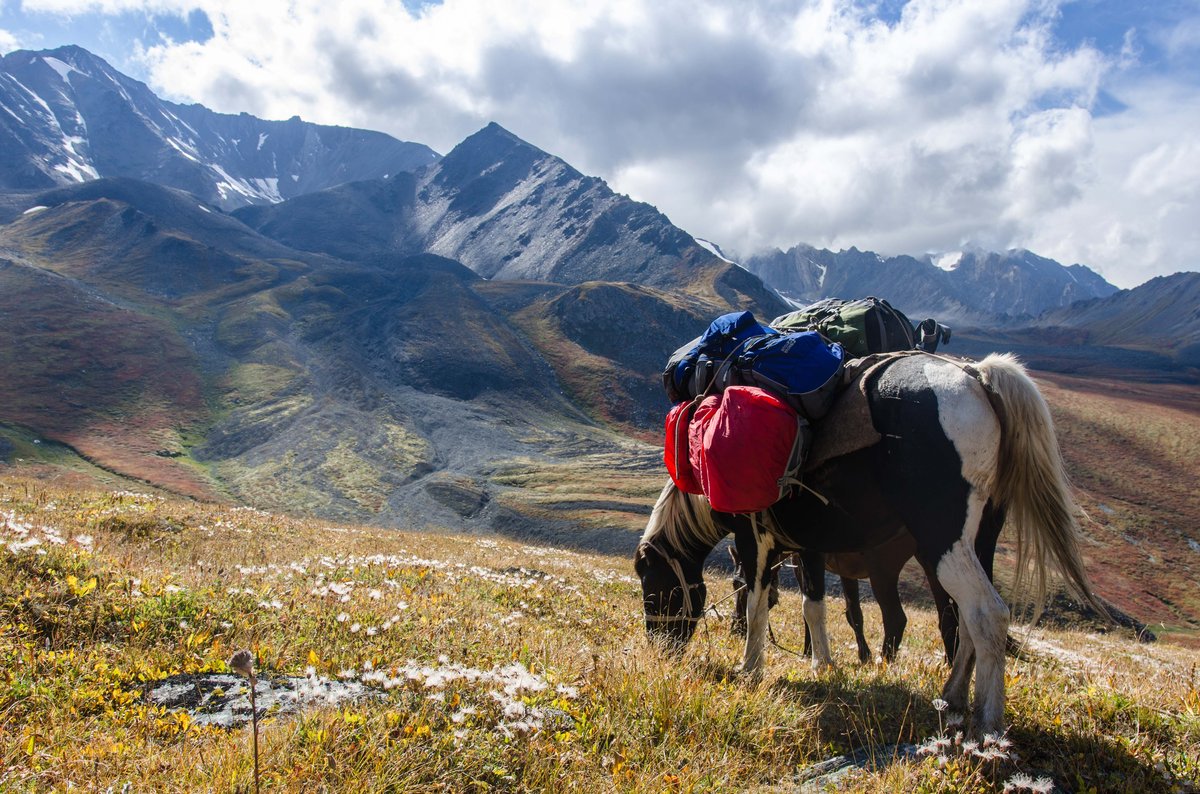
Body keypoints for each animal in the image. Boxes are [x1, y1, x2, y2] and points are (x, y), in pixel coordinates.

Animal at [638, 352, 1104, 738]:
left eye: (650, 581)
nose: (659, 647)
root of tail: (975, 377)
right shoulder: (809, 548)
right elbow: (813, 606)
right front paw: (822, 664)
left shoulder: (754, 538)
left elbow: (757, 605)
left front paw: (750, 669)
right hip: (980, 541)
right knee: (967, 617)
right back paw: (951, 697)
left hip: (944, 542)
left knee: (986, 613)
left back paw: (988, 723)